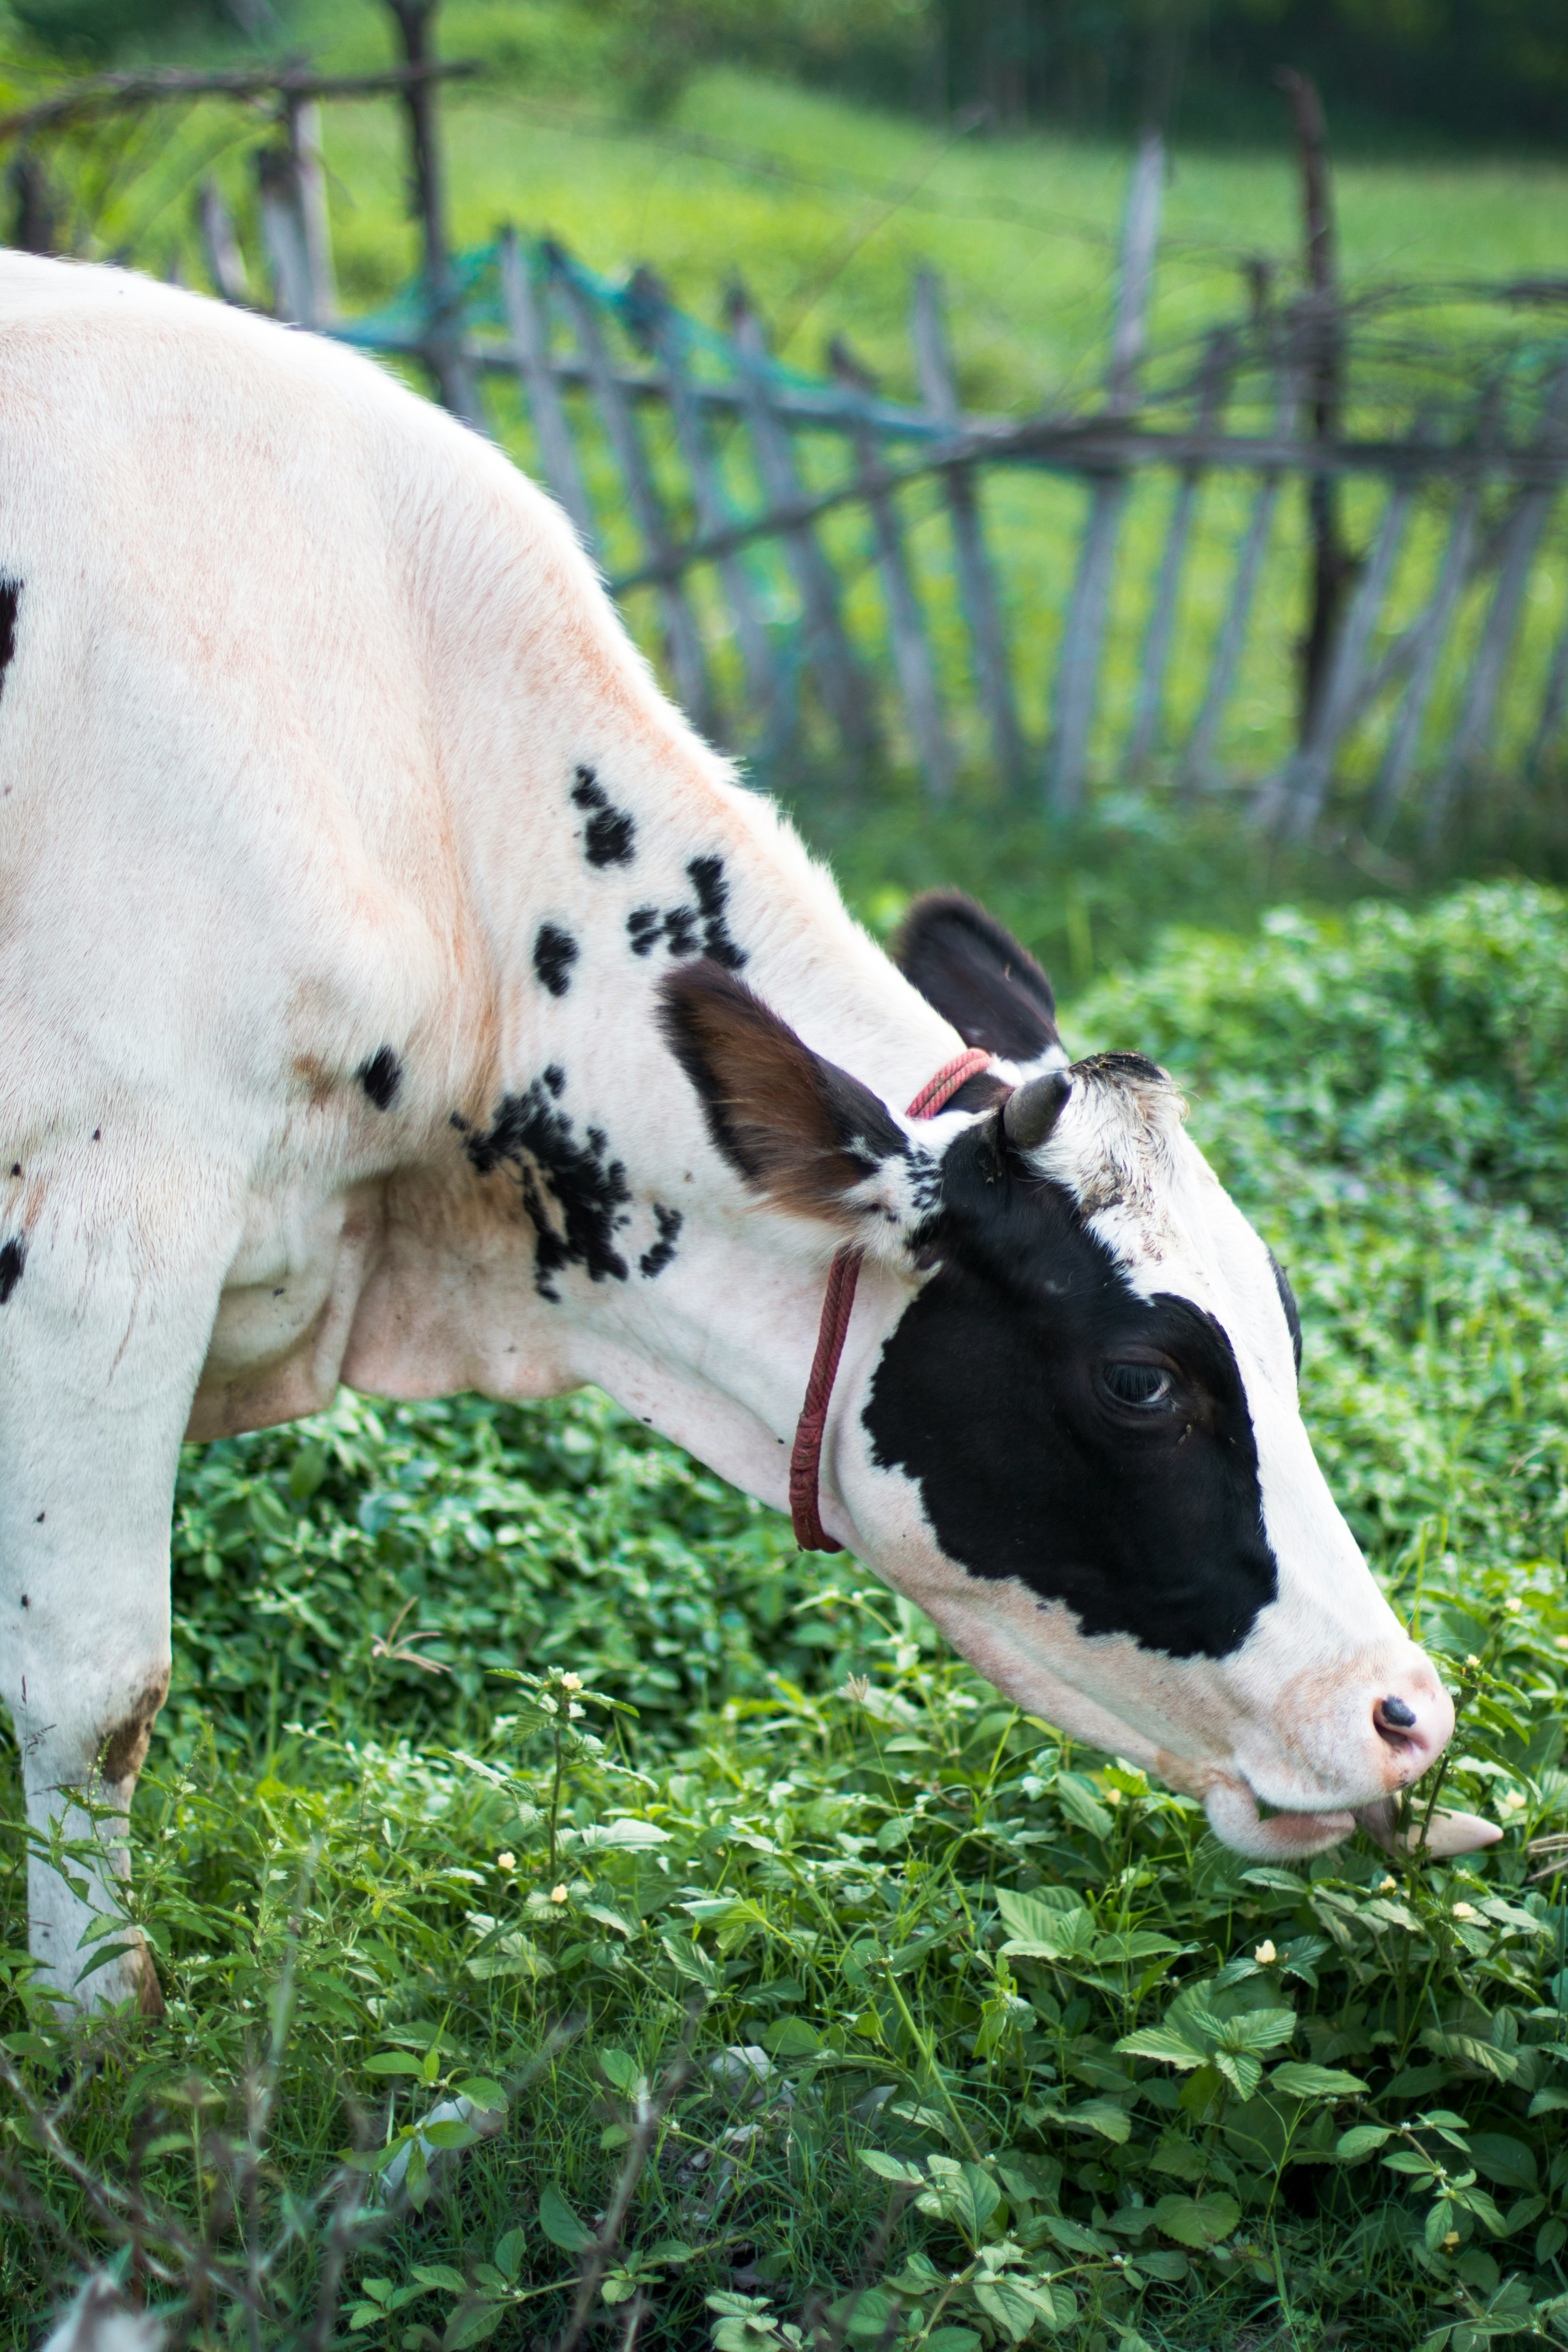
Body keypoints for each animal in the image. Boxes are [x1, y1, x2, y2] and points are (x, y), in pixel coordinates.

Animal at [0, 253, 1490, 2016]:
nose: (1403, 1713)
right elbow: (97, 1688)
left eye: (1287, 1325)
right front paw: (100, 2039)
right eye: (1141, 1380)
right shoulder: (104, 1245)